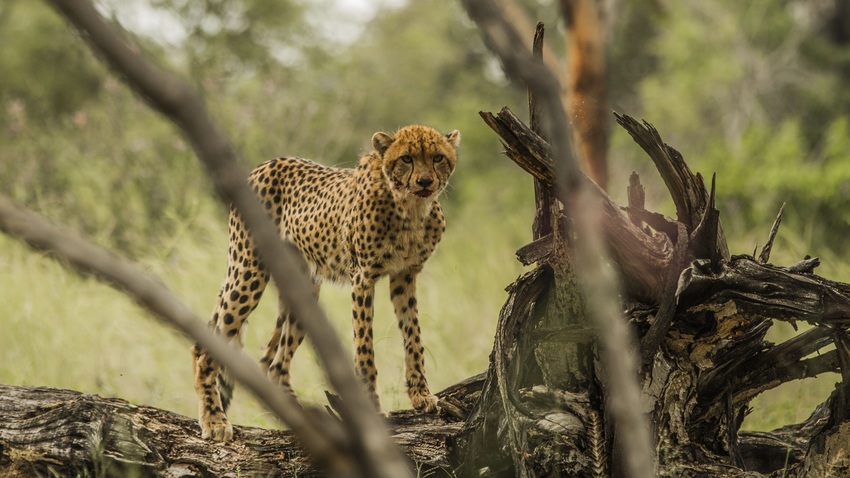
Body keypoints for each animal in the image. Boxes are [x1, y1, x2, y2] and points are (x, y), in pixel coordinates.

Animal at [191, 124, 460, 441]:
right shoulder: (362, 277)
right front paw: (373, 410)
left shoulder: (405, 277)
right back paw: (214, 420)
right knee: (211, 351)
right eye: (406, 158)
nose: (425, 181)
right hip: (248, 271)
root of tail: (264, 165)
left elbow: (414, 336)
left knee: (273, 364)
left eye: (438, 157)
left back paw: (304, 419)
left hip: (302, 286)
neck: (410, 208)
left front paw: (421, 394)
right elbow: (365, 349)